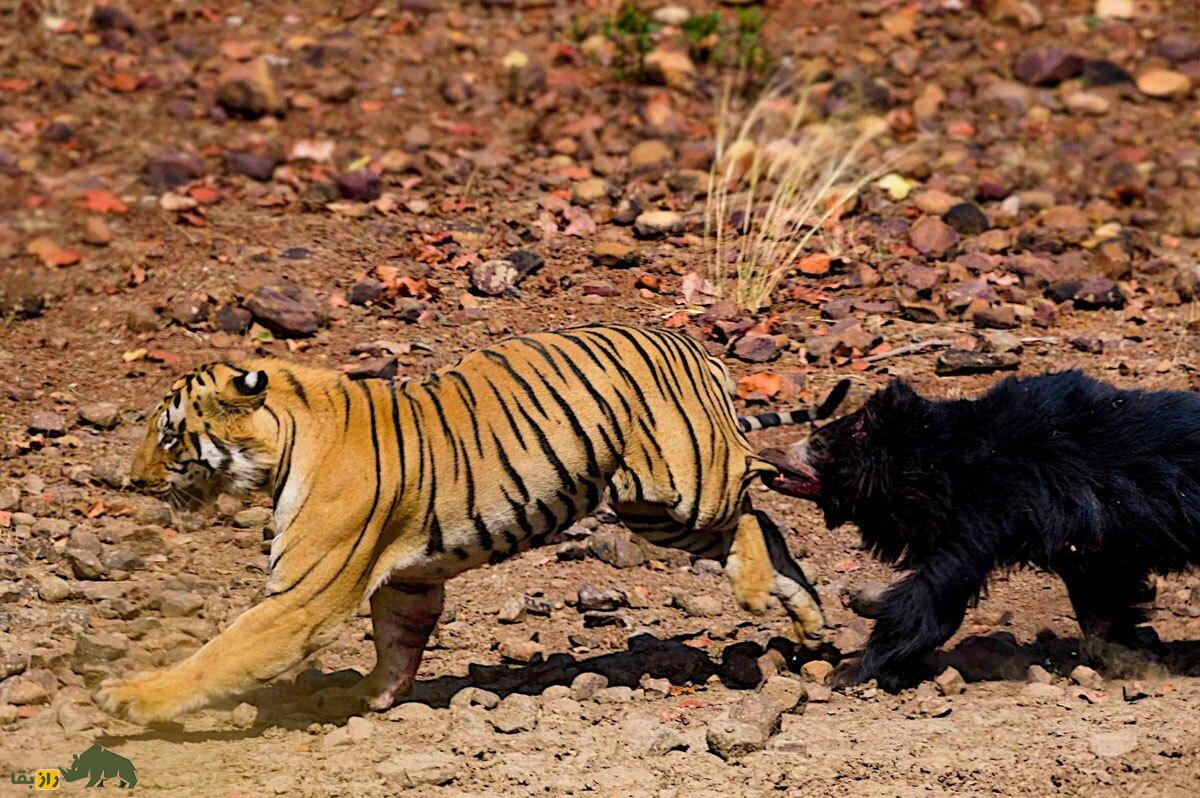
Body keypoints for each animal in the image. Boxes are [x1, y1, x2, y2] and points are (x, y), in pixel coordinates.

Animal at [98, 321, 849, 720]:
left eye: (168, 436)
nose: (131, 481)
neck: (290, 438)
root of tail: (692, 344)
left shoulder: (304, 598)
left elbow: (219, 653)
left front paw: (131, 696)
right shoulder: (409, 582)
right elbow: (398, 644)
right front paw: (370, 697)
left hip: (685, 485)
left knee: (753, 494)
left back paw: (757, 591)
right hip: (653, 510)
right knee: (766, 525)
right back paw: (807, 618)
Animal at [763, 369, 1200, 686]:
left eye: (819, 445)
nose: (769, 455)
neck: (936, 467)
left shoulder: (988, 508)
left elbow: (934, 592)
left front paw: (849, 671)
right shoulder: (1083, 539)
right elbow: (1101, 592)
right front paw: (1120, 655)